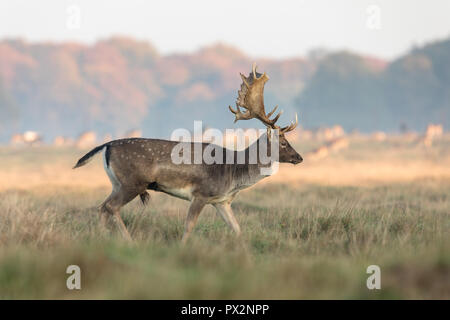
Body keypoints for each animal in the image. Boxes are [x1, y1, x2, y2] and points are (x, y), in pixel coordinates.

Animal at [74, 63, 302, 242]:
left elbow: (237, 229)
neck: (233, 172)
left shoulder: (221, 201)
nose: (299, 157)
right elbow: (189, 226)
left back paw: (103, 237)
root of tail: (107, 145)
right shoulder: (201, 193)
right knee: (111, 207)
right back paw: (127, 241)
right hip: (133, 182)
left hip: (117, 183)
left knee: (102, 207)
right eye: (283, 142)